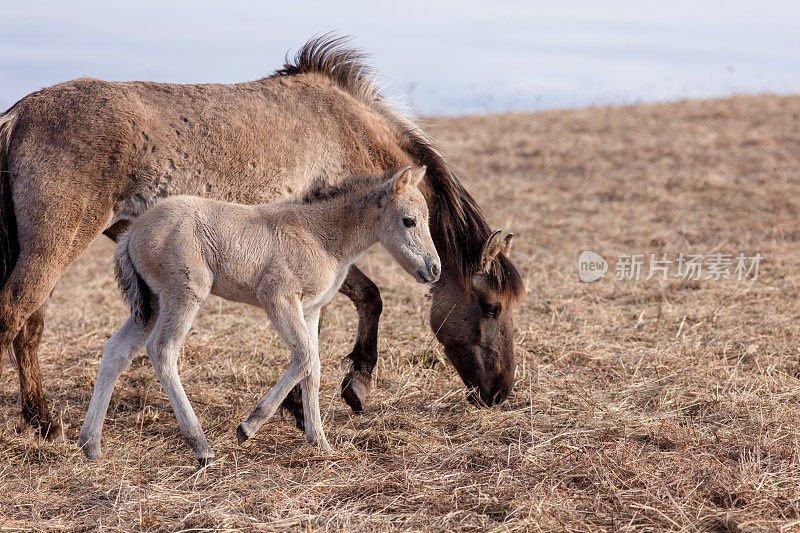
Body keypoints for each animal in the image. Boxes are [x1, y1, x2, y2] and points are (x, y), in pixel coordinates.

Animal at [0, 35, 524, 438]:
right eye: (490, 307)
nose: (500, 392)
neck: (347, 130)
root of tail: (22, 111)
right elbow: (355, 308)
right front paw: (348, 388)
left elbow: (353, 304)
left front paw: (309, 404)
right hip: (56, 245)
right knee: (14, 314)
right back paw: (43, 421)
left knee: (31, 327)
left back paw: (40, 419)